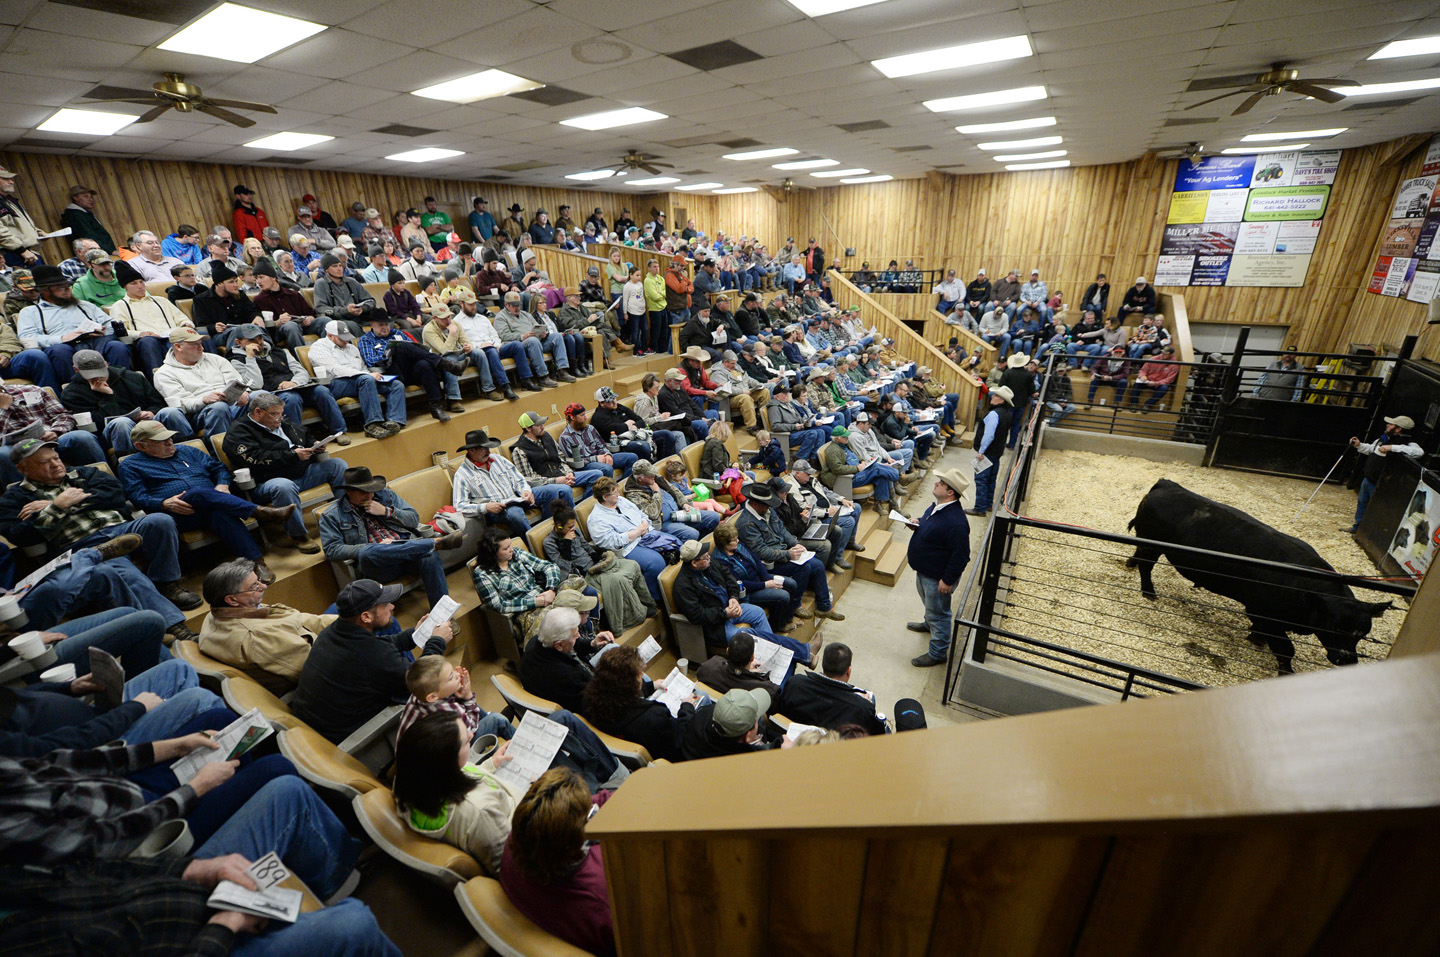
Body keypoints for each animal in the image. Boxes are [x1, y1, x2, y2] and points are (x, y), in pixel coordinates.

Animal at [1117, 474, 1388, 670]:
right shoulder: (1263, 611)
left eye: (1363, 633)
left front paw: (1255, 638)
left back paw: (1131, 565)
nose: (1347, 660)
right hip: (1153, 543)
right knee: (1147, 566)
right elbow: (1286, 649)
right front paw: (1283, 669)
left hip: (1147, 540)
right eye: (1334, 627)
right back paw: (1149, 592)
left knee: (1139, 555)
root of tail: (1168, 484)